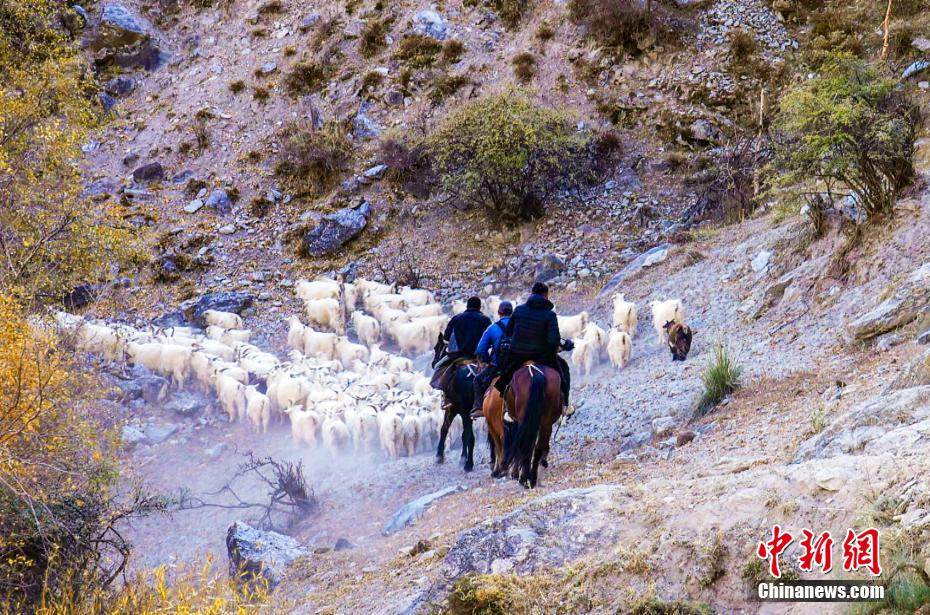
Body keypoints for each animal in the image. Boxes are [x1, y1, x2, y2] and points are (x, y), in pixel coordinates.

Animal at [426, 336, 474, 472]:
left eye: (436, 347)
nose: (433, 363)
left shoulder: (452, 409)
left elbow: (444, 429)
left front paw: (439, 456)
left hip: (465, 411)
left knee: (468, 435)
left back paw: (468, 464)